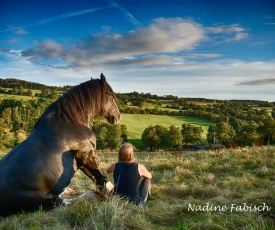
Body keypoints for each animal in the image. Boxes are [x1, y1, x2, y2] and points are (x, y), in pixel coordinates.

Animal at [0, 73, 121, 216]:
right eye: (110, 95)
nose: (118, 116)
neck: (71, 123)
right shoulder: (88, 155)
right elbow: (102, 178)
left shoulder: (81, 161)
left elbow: (97, 179)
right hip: (43, 200)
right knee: (63, 202)